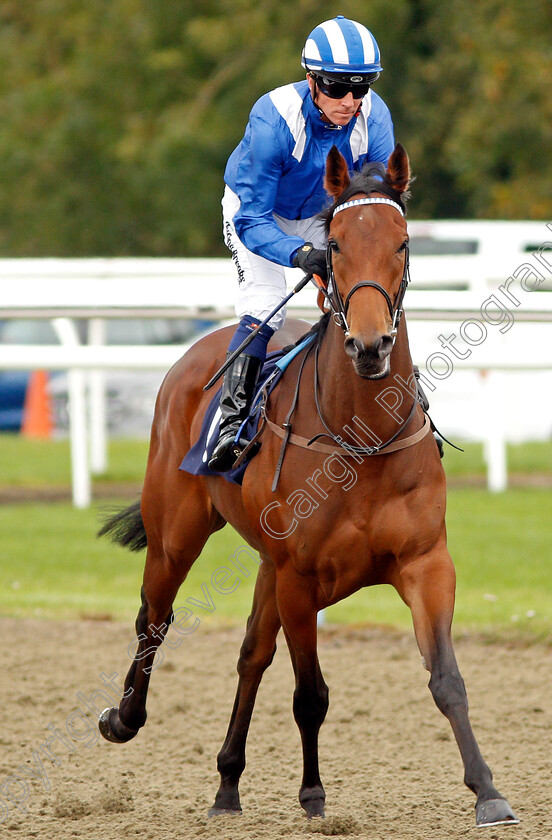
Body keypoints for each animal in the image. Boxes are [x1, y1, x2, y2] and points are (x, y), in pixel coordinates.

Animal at [98, 143, 516, 828]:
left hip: (266, 564)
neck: (361, 442)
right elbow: (309, 693)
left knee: (250, 653)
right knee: (153, 618)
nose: (370, 344)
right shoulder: (299, 577)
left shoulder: (426, 564)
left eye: (403, 242)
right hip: (176, 536)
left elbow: (447, 680)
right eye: (336, 245)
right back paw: (124, 718)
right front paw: (314, 794)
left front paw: (487, 791)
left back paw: (227, 784)